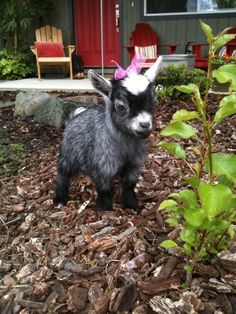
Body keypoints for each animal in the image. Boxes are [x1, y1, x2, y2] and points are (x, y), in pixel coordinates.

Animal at [54, 56, 163, 213]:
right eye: (121, 107)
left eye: (153, 102)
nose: (145, 125)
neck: (124, 148)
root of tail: (75, 116)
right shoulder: (103, 166)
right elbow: (104, 189)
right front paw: (103, 209)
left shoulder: (134, 164)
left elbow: (129, 186)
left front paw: (132, 205)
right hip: (68, 154)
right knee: (62, 173)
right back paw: (60, 199)